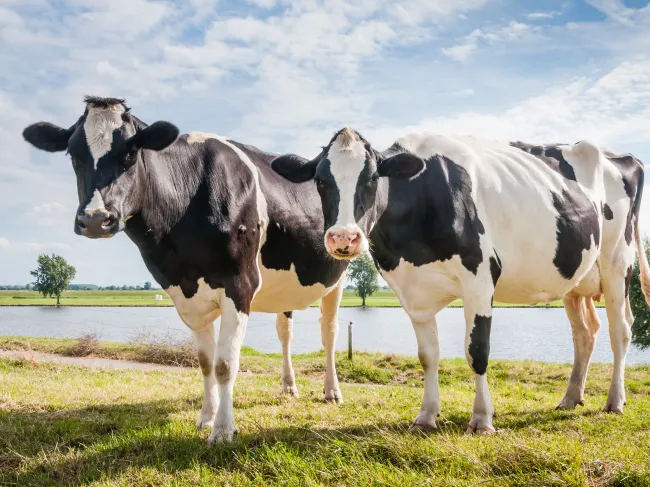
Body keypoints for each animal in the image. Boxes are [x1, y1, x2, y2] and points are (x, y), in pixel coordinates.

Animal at [21, 96, 348, 444]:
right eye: (73, 154)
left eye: (130, 152)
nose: (96, 219)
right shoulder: (186, 292)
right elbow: (205, 363)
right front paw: (206, 417)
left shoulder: (240, 284)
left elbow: (225, 364)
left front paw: (223, 429)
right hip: (284, 289)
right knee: (285, 332)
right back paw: (288, 387)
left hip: (339, 276)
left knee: (329, 332)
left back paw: (331, 391)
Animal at [271, 127, 650, 434]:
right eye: (321, 181)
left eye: (372, 179)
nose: (343, 238)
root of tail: (622, 155)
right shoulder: (413, 292)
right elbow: (428, 355)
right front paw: (426, 416)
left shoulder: (480, 277)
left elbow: (477, 351)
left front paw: (482, 419)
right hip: (575, 279)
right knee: (585, 333)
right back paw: (571, 397)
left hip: (617, 264)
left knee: (620, 331)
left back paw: (614, 401)